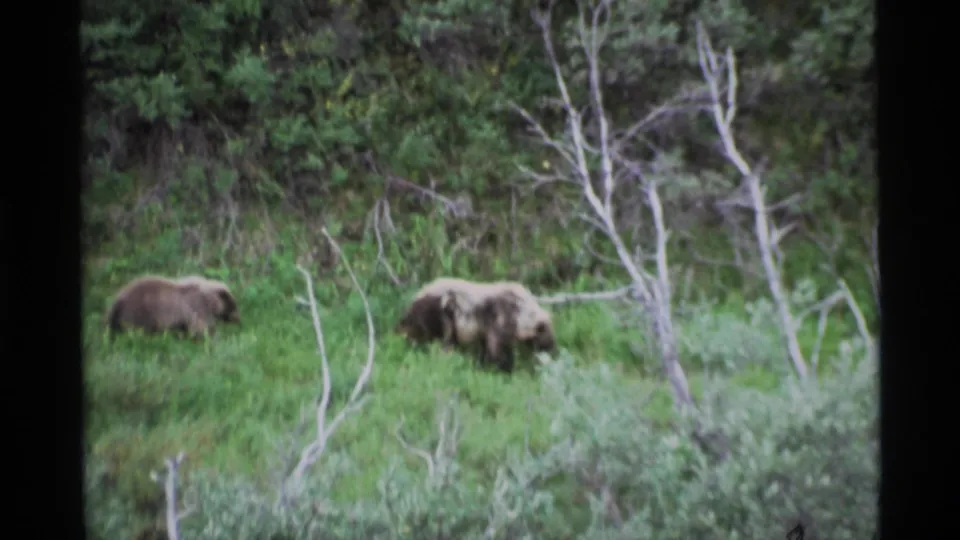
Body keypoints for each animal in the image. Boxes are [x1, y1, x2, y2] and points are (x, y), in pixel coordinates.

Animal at [105, 275, 240, 340]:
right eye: (233, 306)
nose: (238, 319)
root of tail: (118, 300)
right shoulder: (196, 308)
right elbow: (200, 327)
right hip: (138, 313)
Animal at [396, 277, 556, 372]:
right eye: (547, 337)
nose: (552, 349)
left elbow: (488, 346)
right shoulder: (500, 319)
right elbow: (498, 348)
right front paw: (501, 368)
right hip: (440, 313)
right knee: (434, 337)